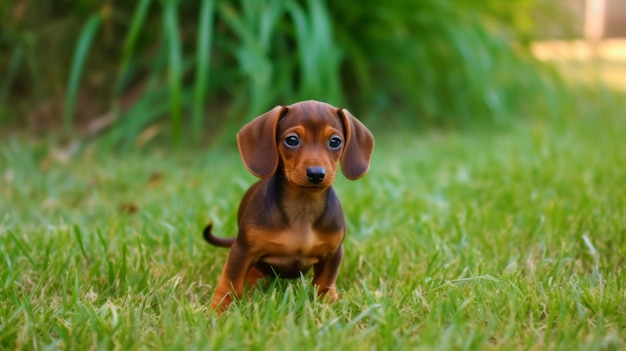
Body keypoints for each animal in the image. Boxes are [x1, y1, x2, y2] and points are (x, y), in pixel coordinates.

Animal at [202, 100, 372, 312]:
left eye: (335, 142)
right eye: (292, 140)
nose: (316, 174)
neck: (303, 207)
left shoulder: (333, 253)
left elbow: (325, 282)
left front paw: (327, 303)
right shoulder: (242, 250)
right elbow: (230, 282)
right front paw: (219, 310)